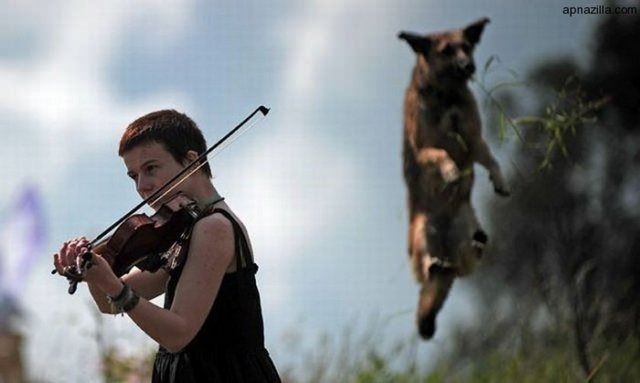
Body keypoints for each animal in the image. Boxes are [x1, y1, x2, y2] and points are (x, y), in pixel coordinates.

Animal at [400, 19, 510, 340]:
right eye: (447, 51)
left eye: (468, 46)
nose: (469, 66)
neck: (446, 94)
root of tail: (446, 248)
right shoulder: (423, 148)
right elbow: (439, 153)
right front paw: (450, 170)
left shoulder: (474, 139)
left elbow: (490, 158)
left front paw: (499, 179)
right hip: (423, 232)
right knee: (431, 267)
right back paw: (436, 265)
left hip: (464, 229)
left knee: (466, 265)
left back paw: (476, 245)